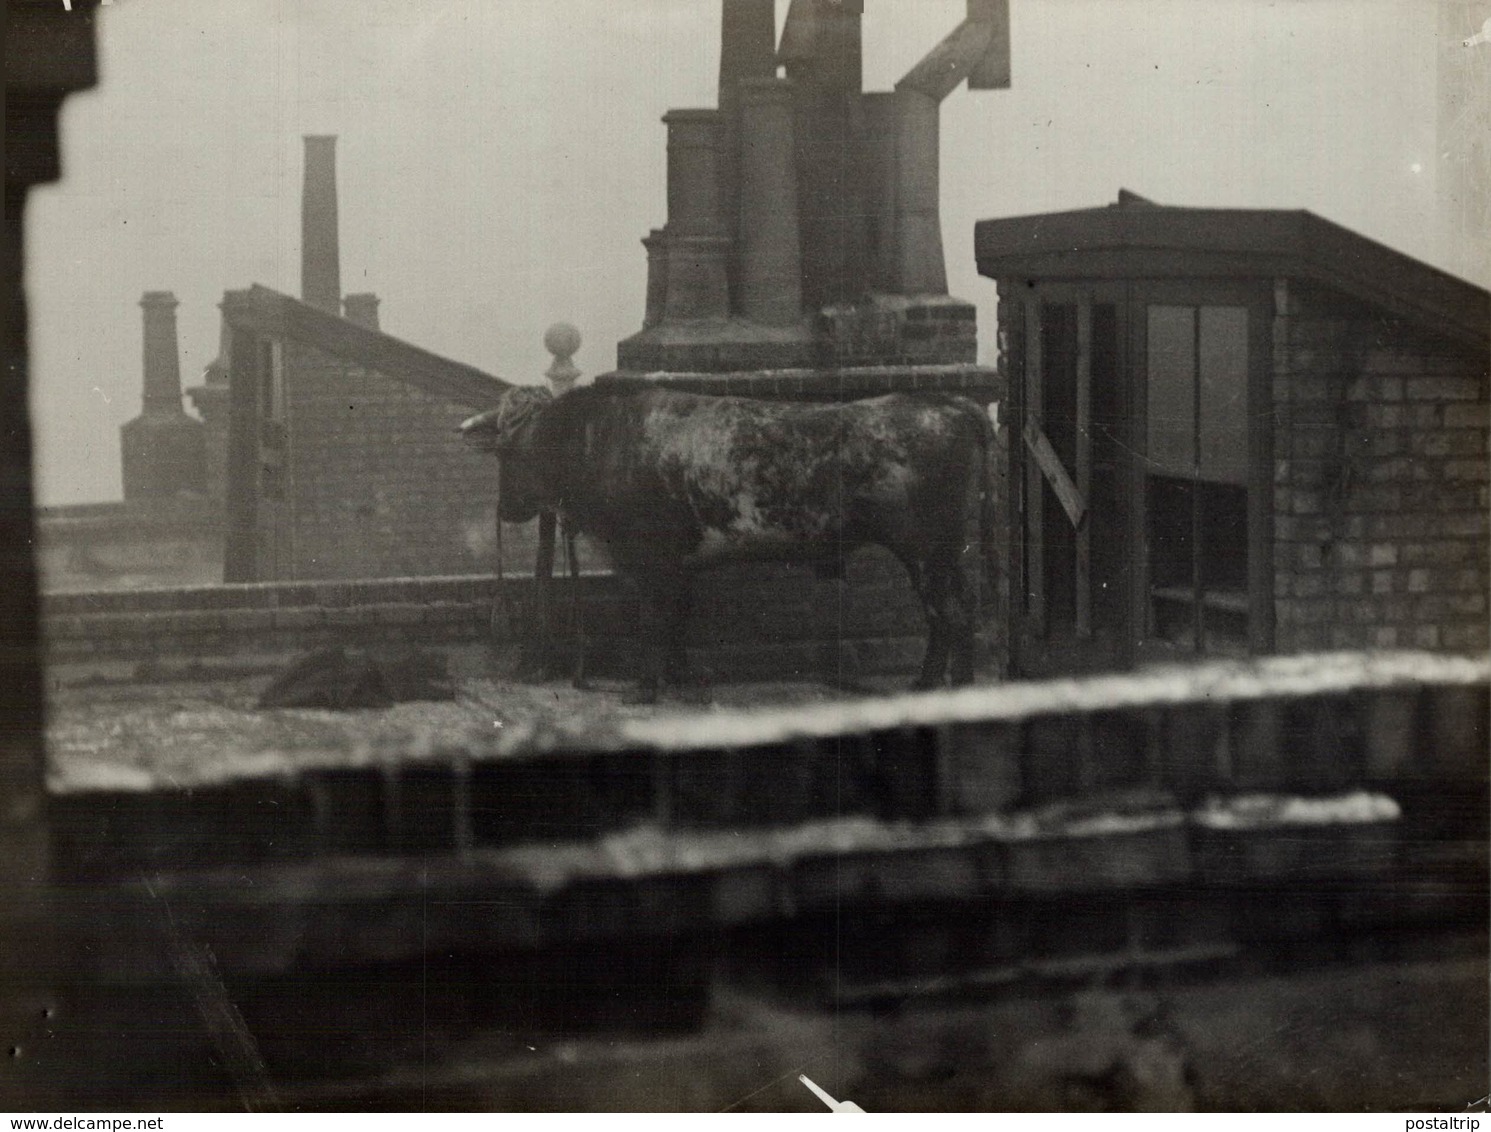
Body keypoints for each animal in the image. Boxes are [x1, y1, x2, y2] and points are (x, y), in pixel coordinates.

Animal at [462, 384, 1001, 703]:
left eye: (508, 452)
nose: (506, 510)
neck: (607, 439)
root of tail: (944, 404)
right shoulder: (677, 563)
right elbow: (676, 618)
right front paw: (679, 677)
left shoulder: (651, 556)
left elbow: (654, 620)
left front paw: (644, 688)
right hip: (946, 554)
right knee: (960, 608)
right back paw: (948, 682)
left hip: (925, 549)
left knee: (948, 613)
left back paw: (938, 685)